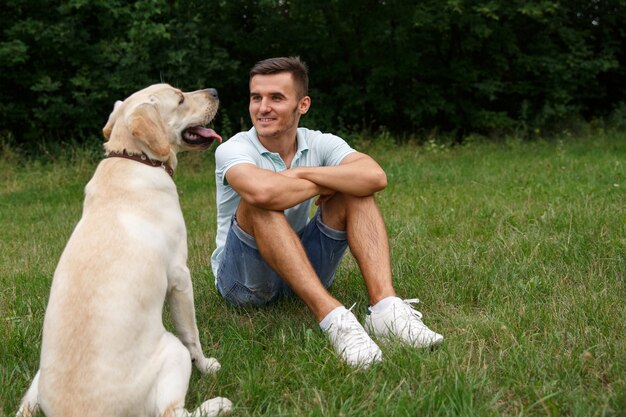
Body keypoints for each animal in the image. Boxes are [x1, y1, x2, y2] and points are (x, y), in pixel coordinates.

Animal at [17, 83, 232, 416]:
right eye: (180, 98)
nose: (214, 90)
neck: (133, 158)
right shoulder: (180, 277)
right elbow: (192, 335)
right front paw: (207, 366)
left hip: (37, 380)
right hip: (171, 350)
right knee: (173, 411)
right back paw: (218, 403)